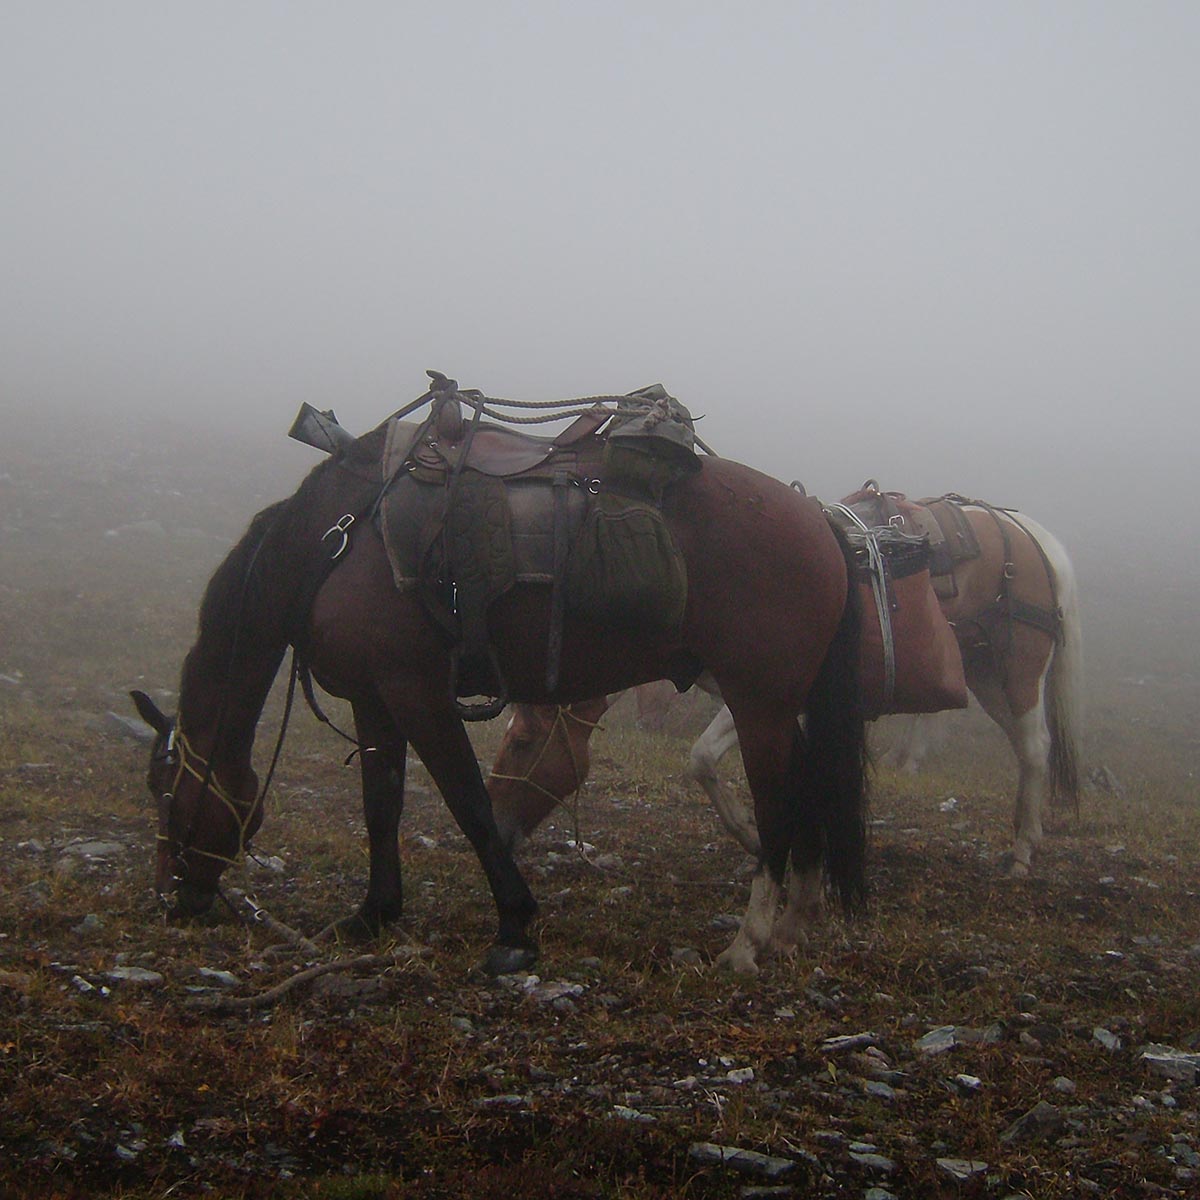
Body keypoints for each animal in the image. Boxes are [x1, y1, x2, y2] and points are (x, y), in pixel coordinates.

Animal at [131, 388, 868, 979]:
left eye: (165, 788)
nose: (173, 898)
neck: (334, 543)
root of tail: (817, 520)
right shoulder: (374, 699)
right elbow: (380, 806)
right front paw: (373, 914)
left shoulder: (416, 690)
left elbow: (469, 805)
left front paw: (514, 926)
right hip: (773, 704)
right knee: (807, 792)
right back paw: (791, 929)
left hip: (758, 702)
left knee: (778, 808)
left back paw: (748, 943)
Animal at [489, 484, 1089, 892]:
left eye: (520, 743)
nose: (496, 831)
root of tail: (1030, 536)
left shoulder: (767, 695)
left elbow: (702, 757)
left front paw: (757, 838)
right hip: (985, 674)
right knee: (1025, 750)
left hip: (1018, 672)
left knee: (1035, 749)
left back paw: (1021, 853)